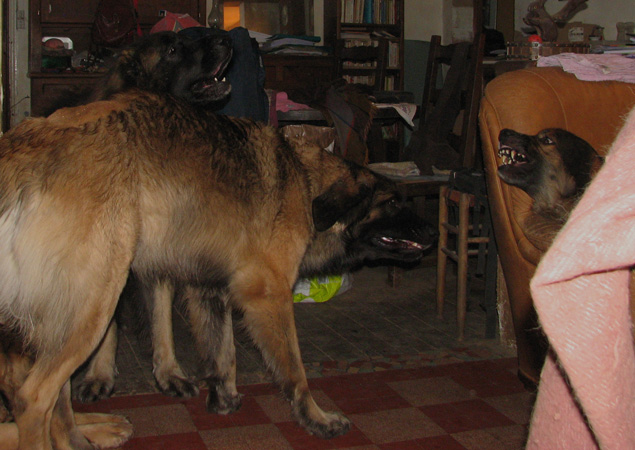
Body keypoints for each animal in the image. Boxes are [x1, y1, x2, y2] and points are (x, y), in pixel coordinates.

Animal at [0, 88, 434, 446]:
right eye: (393, 202)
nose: (433, 230)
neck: (305, 183)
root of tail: (28, 146)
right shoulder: (269, 295)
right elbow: (295, 372)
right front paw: (316, 418)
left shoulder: (210, 288)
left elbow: (223, 352)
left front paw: (224, 399)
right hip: (94, 304)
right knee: (33, 397)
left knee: (52, 397)